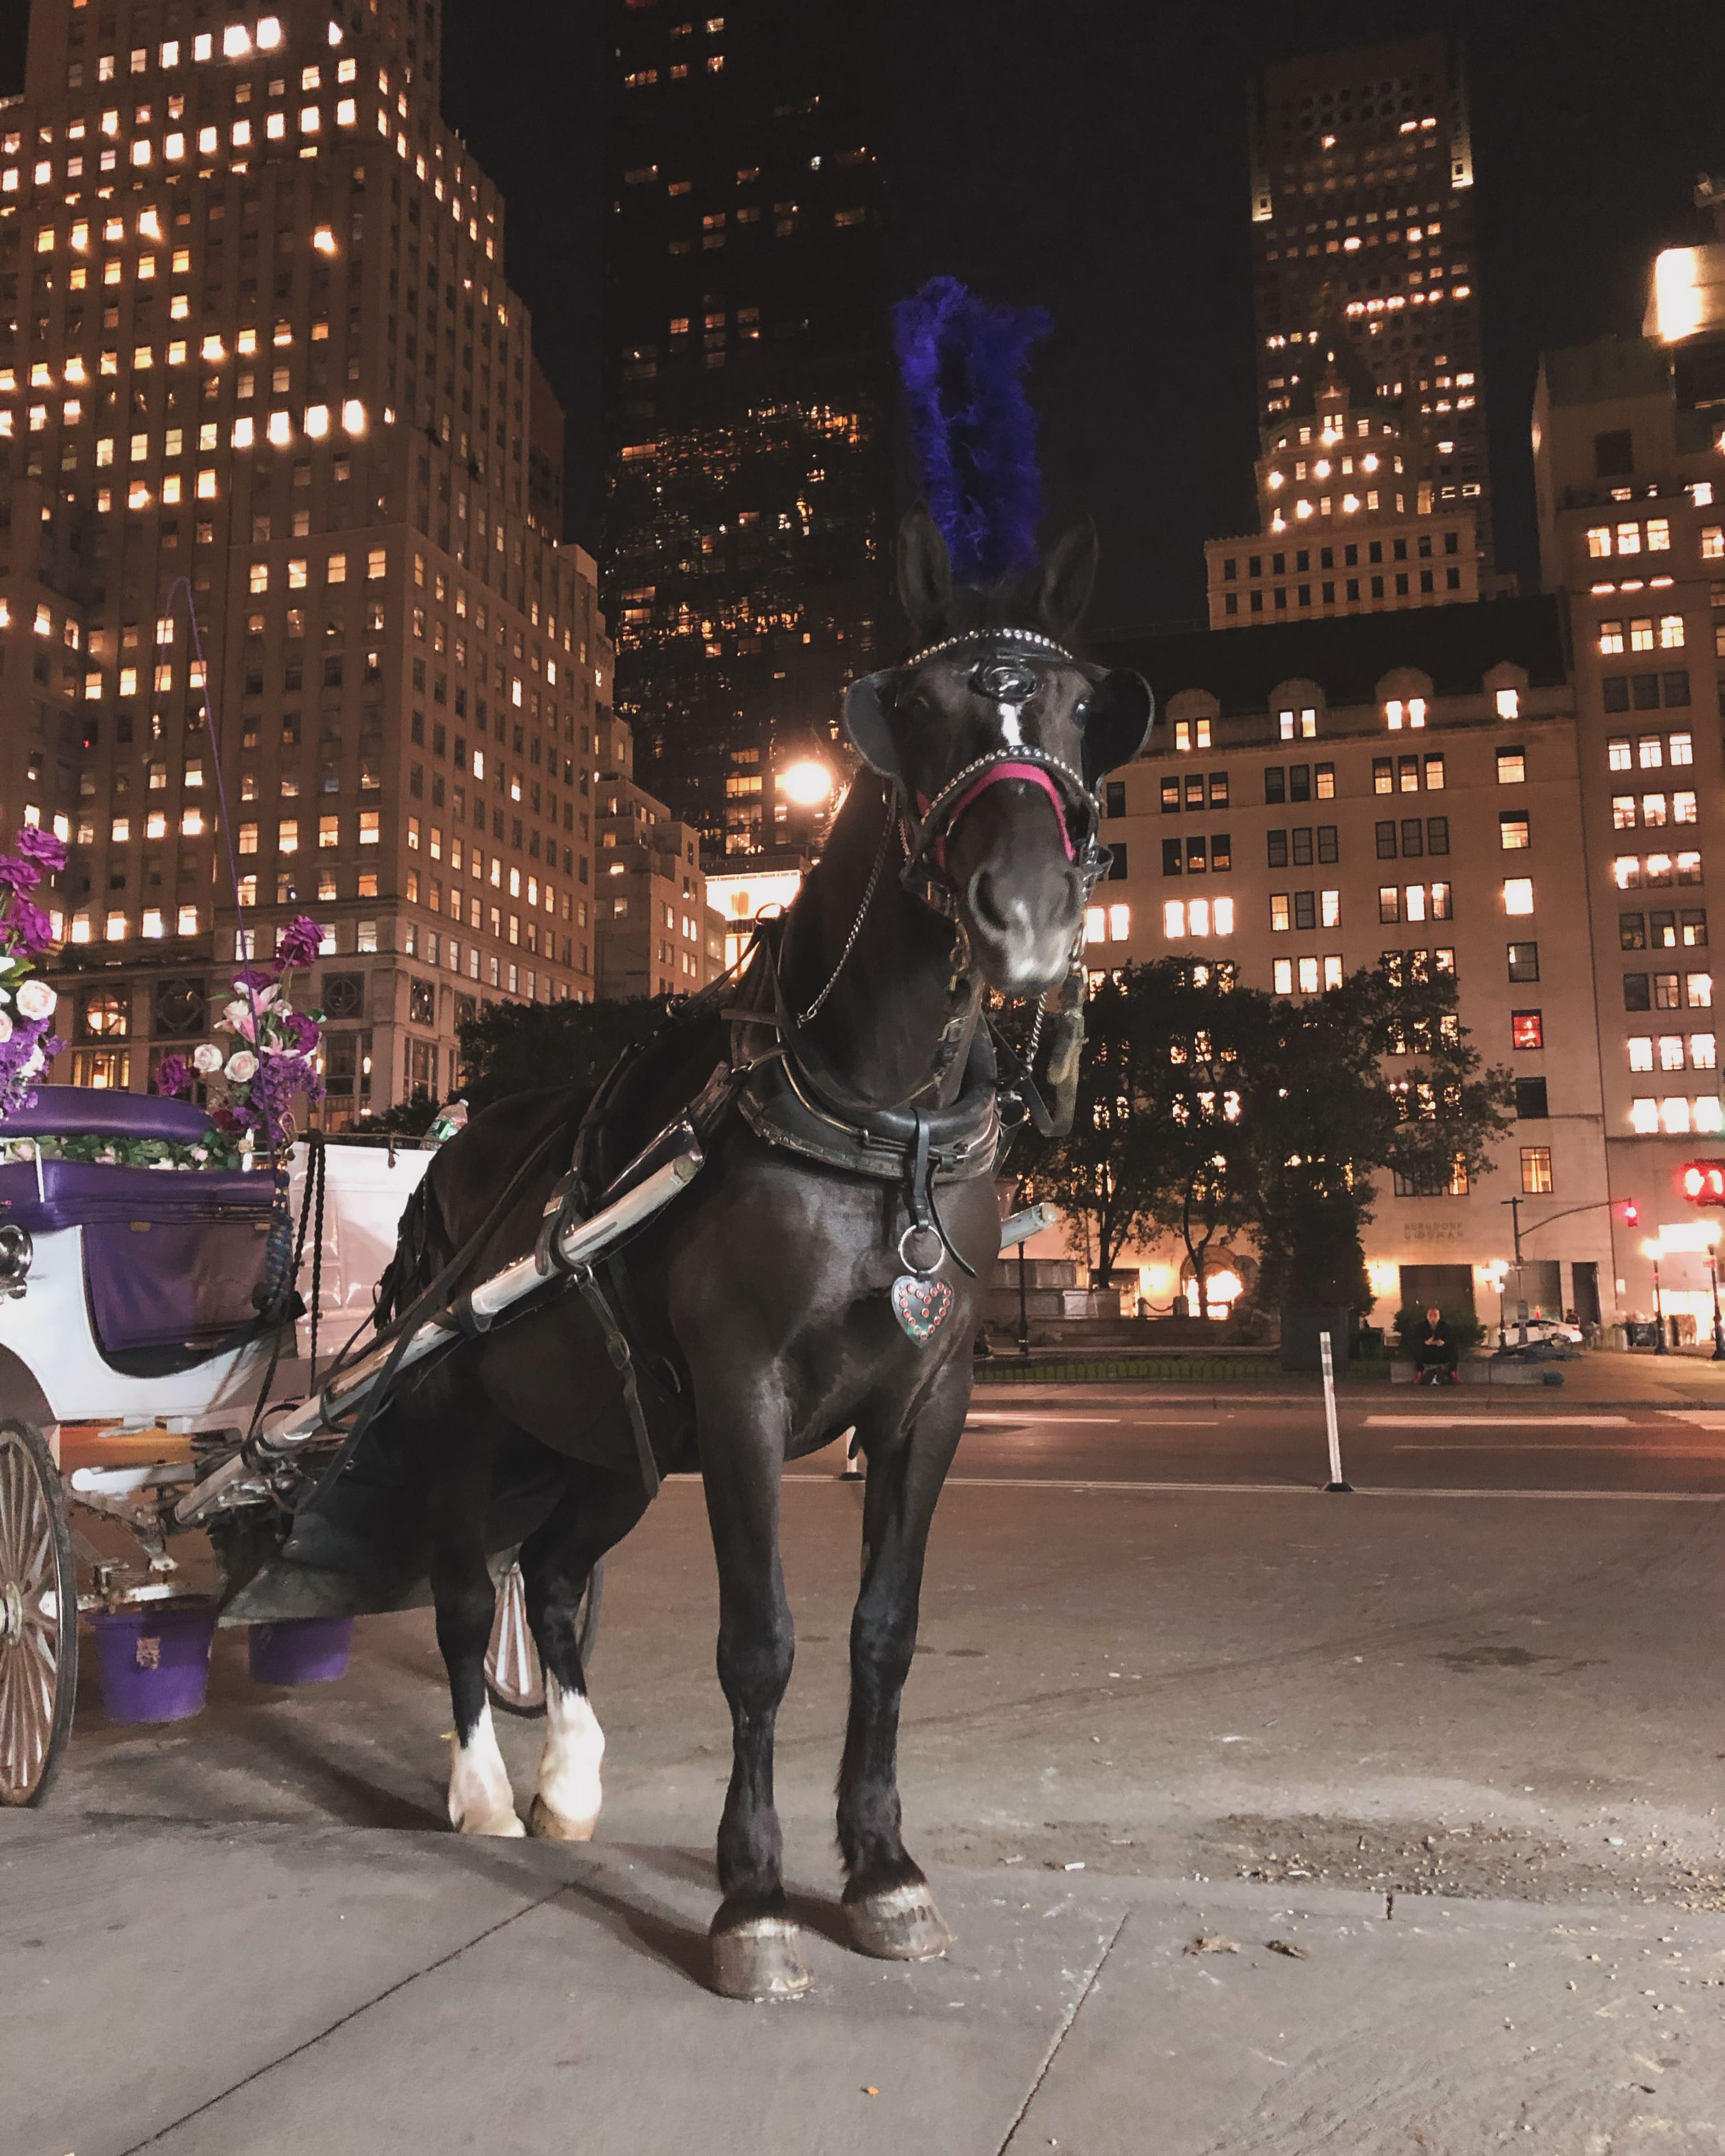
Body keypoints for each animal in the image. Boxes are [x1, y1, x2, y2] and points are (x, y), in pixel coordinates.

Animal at [383, 500, 1156, 1983]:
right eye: (911, 706)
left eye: (1089, 705)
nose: (1027, 911)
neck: (878, 1119)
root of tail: (452, 1147)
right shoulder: (743, 1393)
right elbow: (762, 1644)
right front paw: (751, 1898)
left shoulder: (929, 1398)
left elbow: (882, 1635)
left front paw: (885, 1870)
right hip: (459, 1422)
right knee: (459, 1598)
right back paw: (487, 1792)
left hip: (608, 1440)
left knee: (551, 1581)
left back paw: (569, 1778)